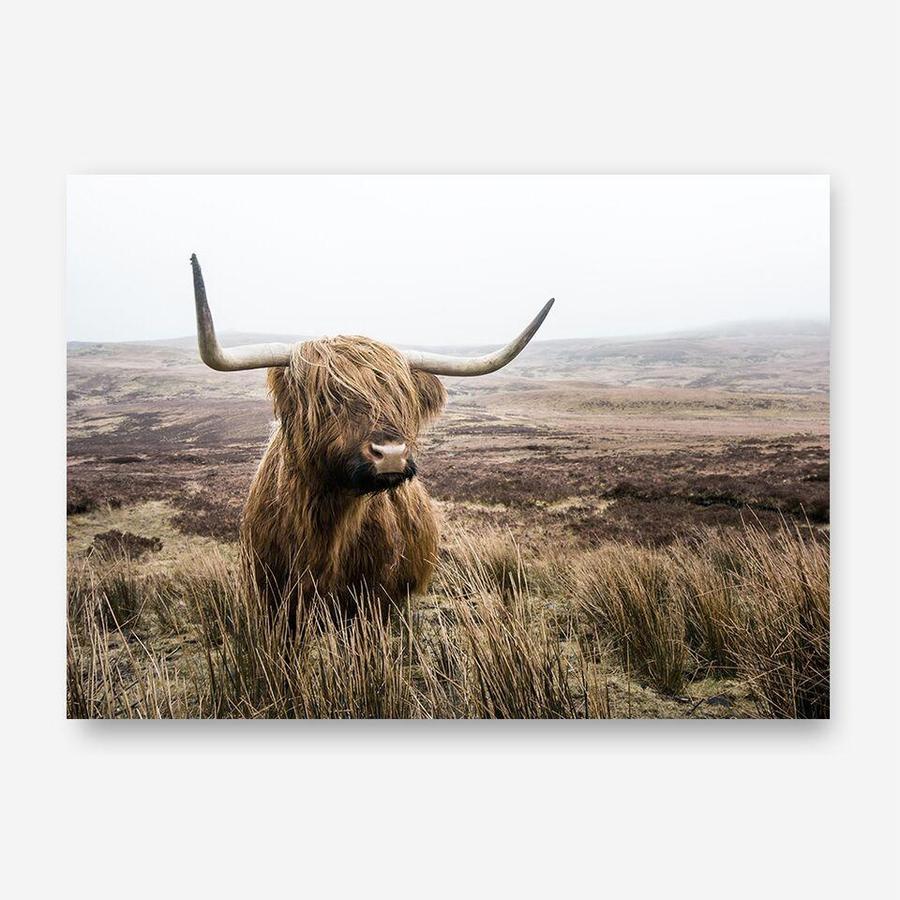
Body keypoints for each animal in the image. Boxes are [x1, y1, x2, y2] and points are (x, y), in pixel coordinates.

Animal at [189, 254, 553, 621]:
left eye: (402, 399)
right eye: (327, 398)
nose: (391, 454)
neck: (327, 525)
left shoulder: (375, 600)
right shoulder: (272, 599)